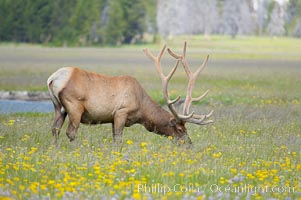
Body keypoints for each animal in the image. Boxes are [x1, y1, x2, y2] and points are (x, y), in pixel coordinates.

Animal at [47, 42, 212, 145]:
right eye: (180, 129)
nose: (189, 144)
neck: (141, 111)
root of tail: (53, 78)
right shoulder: (121, 111)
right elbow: (118, 139)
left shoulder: (112, 118)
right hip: (74, 106)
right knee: (70, 132)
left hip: (58, 106)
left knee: (55, 129)